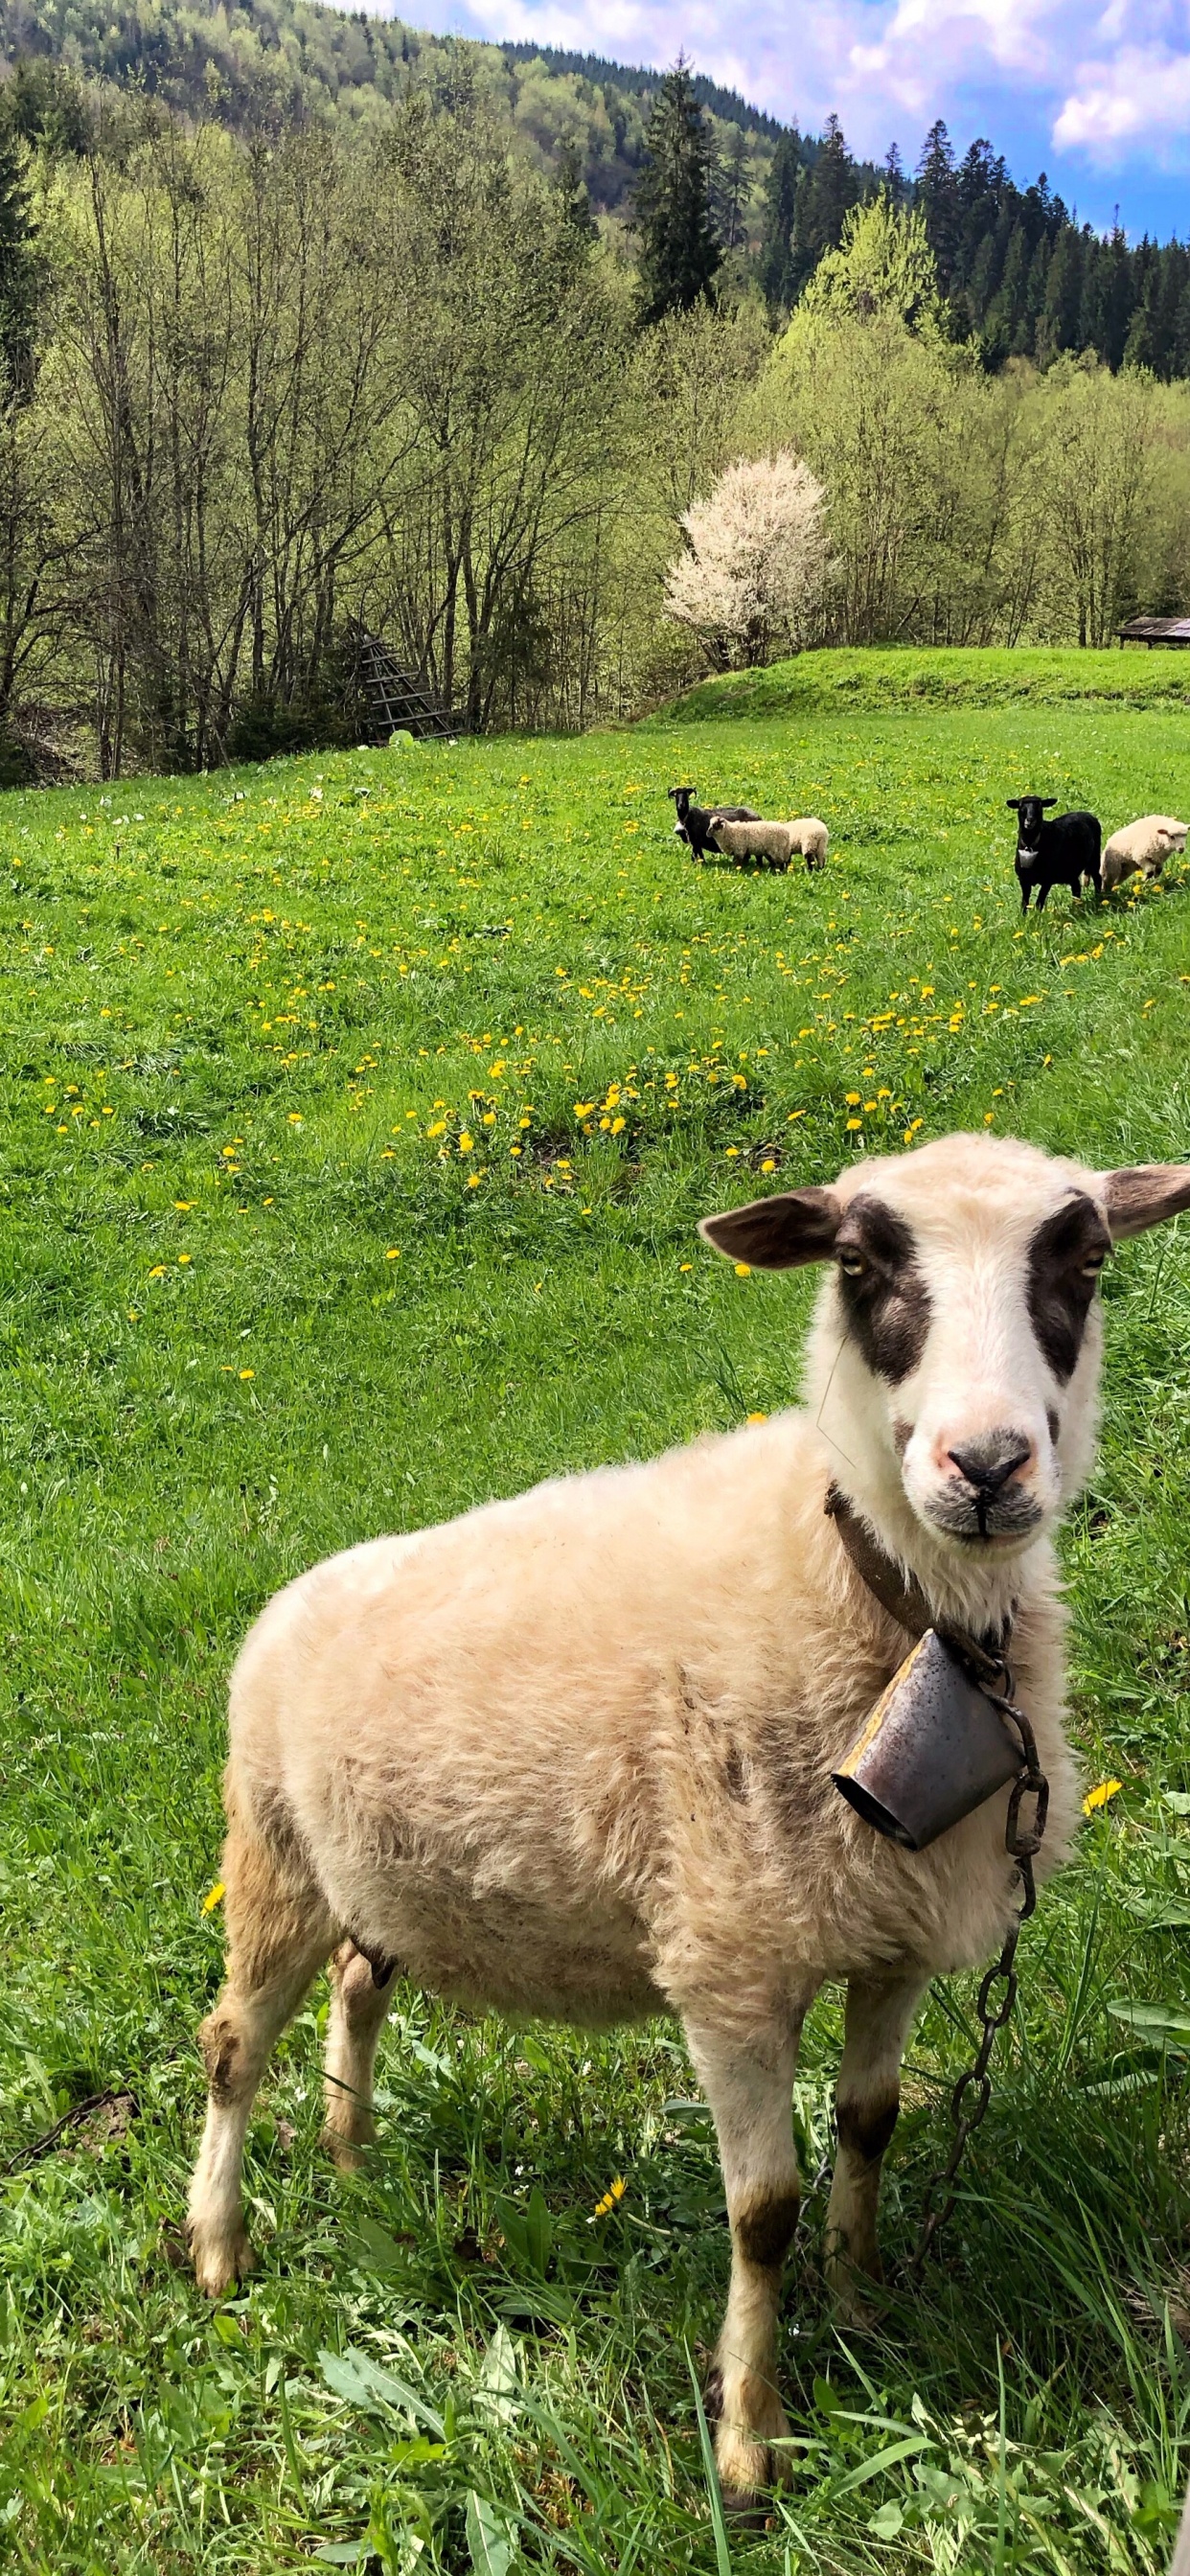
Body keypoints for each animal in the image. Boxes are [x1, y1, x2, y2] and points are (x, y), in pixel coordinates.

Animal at [186, 1133, 1190, 2509]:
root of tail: (288, 1595)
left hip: (378, 1873)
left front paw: (860, 2304)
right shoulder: (730, 1962)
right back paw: (218, 2248)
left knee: (358, 1984)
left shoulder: (893, 1935)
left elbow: (871, 2127)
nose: (985, 1468)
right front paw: (750, 2442)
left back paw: (351, 2153)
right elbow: (760, 2212)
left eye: (1083, 1259)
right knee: (233, 2045)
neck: (884, 1594)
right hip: (271, 1851)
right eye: (860, 1266)